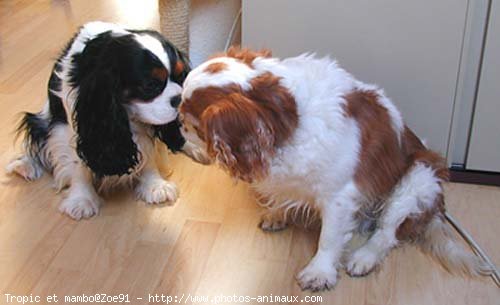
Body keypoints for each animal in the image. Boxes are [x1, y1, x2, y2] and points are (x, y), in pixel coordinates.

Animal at [6, 21, 205, 220]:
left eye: (181, 77)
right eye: (150, 85)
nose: (180, 99)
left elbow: (148, 152)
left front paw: (154, 185)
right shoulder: (72, 126)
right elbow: (77, 163)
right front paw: (82, 199)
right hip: (39, 121)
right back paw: (24, 164)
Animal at [179, 47, 488, 290]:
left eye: (194, 124)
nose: (179, 124)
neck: (289, 115)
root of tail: (436, 211)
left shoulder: (339, 197)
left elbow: (328, 238)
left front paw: (319, 272)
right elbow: (281, 195)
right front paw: (277, 214)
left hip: (418, 178)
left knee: (387, 233)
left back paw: (363, 257)